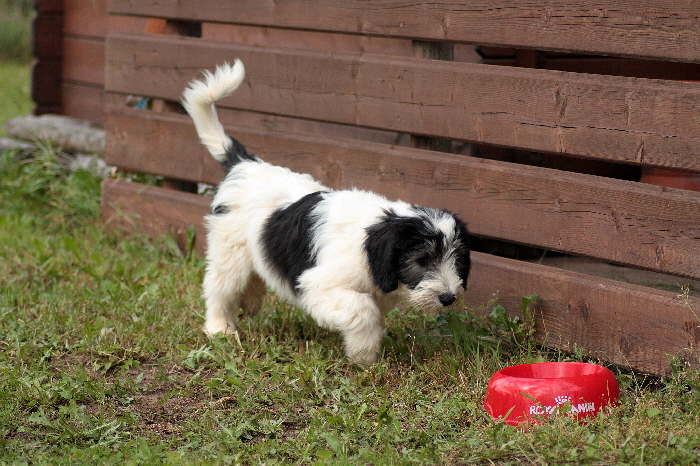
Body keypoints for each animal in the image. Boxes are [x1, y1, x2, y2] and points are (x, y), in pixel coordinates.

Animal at [183, 60, 474, 364]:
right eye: (423, 260)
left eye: (457, 259)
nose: (449, 298)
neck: (369, 246)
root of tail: (245, 164)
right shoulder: (318, 285)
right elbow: (363, 311)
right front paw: (365, 358)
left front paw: (365, 356)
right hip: (230, 250)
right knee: (219, 286)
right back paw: (220, 328)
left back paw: (249, 303)